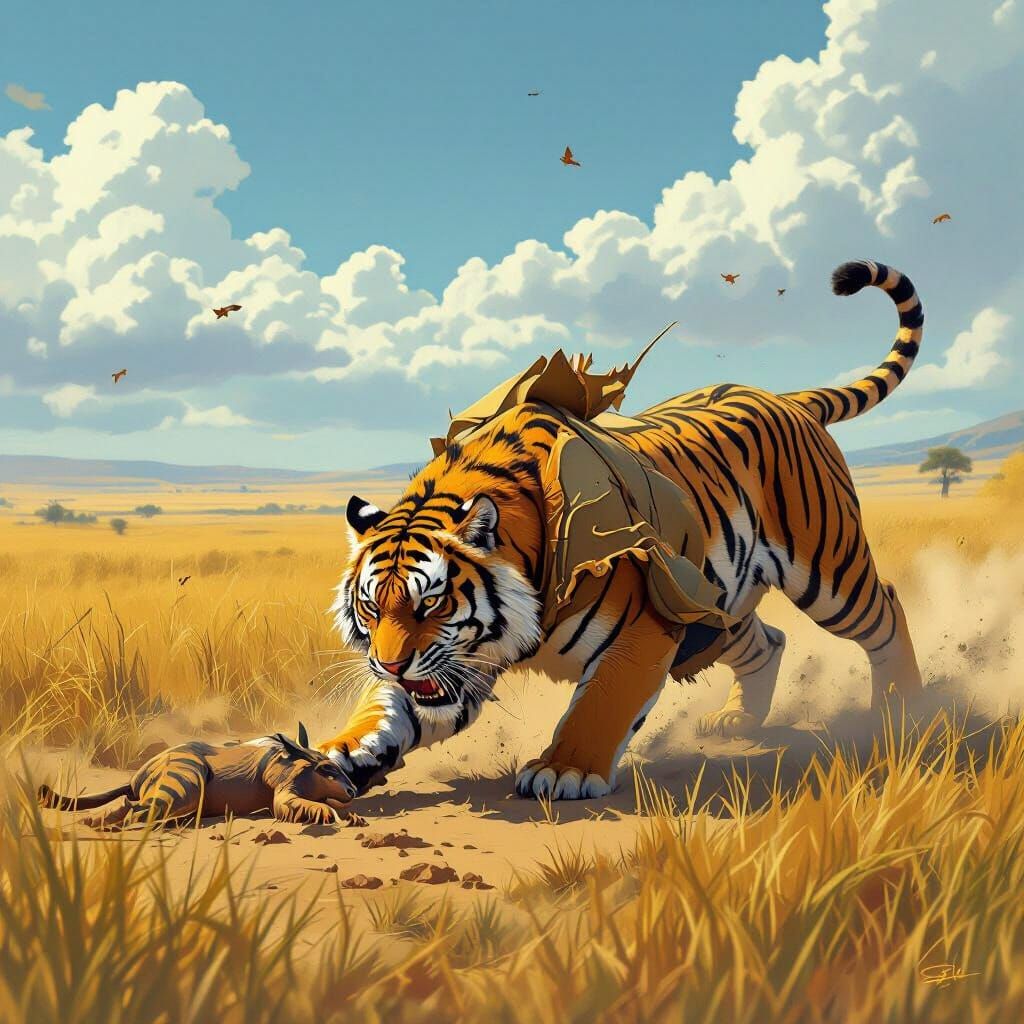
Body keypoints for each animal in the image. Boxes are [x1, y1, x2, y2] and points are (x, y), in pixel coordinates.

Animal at [318, 259, 924, 801]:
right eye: (371, 606)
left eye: (432, 603)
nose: (389, 662)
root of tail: (784, 396)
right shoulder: (459, 663)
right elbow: (389, 705)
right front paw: (342, 748)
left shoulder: (643, 624)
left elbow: (601, 702)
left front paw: (564, 770)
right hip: (712, 601)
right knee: (768, 640)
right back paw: (738, 722)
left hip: (826, 570)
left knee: (887, 612)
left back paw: (904, 712)